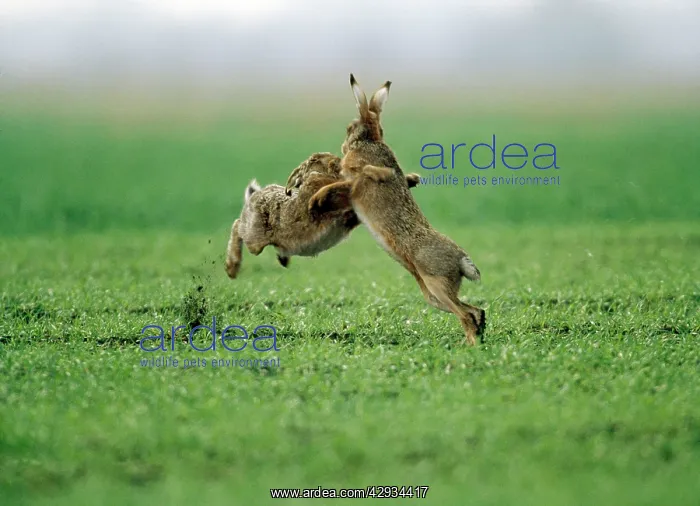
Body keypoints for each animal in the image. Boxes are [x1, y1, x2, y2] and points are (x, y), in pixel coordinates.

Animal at [225, 152, 421, 279]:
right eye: (331, 163)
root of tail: (253, 197)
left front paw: (411, 179)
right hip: (255, 239)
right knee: (237, 226)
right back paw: (232, 268)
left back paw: (283, 259)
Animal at [292, 75, 486, 344]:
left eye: (349, 127)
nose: (343, 145)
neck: (369, 141)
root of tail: (461, 260)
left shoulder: (355, 181)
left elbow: (340, 184)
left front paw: (315, 201)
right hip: (433, 295)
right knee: (475, 311)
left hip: (436, 283)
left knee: (466, 314)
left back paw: (470, 346)